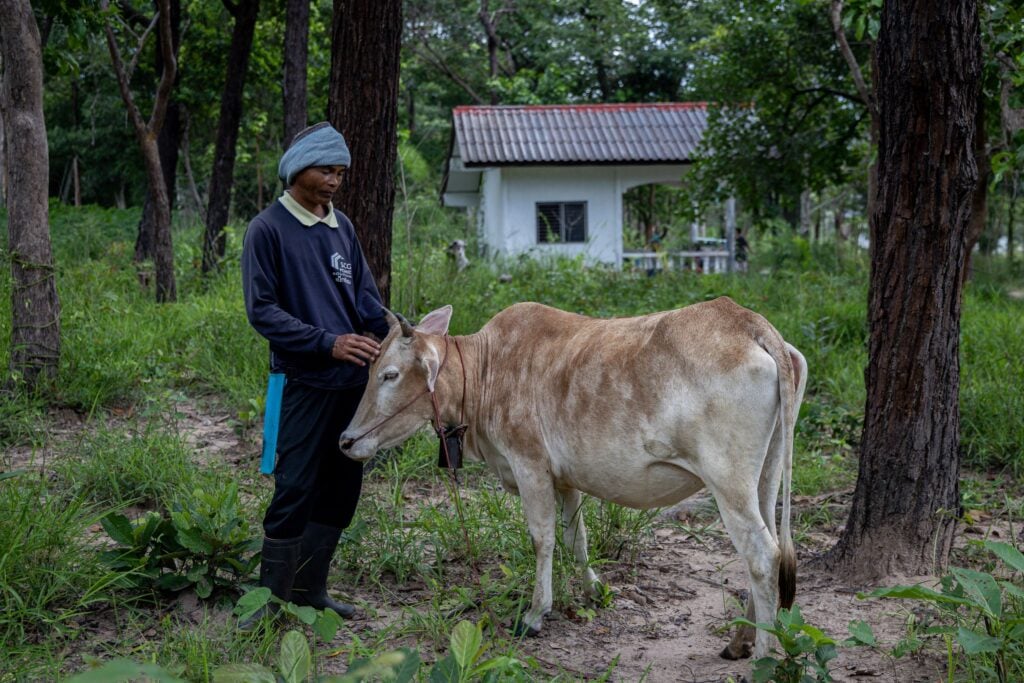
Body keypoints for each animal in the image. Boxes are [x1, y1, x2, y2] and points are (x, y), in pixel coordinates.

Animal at [342, 296, 806, 655]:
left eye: (389, 374)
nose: (346, 441)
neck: (489, 368)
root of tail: (749, 323)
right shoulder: (564, 478)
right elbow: (575, 537)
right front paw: (592, 590)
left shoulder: (529, 464)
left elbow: (542, 539)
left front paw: (534, 614)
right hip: (764, 477)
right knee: (768, 547)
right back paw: (741, 641)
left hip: (729, 483)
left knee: (763, 555)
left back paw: (763, 655)